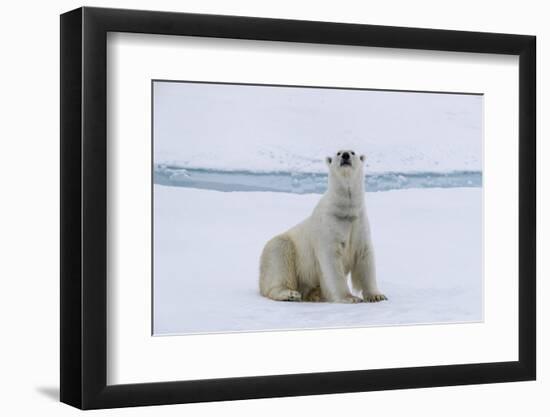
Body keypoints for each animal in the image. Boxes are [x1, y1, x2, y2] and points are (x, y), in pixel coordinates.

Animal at [260, 150, 386, 302]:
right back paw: (290, 294)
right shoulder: (328, 227)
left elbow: (364, 256)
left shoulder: (359, 225)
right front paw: (350, 298)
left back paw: (315, 293)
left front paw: (377, 295)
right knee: (279, 260)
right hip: (285, 248)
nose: (345, 155)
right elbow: (331, 261)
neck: (345, 212)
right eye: (338, 153)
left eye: (352, 152)